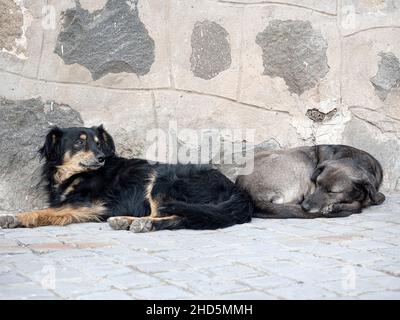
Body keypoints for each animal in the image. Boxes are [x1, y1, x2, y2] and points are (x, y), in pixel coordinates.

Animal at [0, 125, 253, 232]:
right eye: (79, 143)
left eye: (98, 143)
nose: (101, 157)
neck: (76, 174)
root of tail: (236, 190)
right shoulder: (82, 208)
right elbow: (53, 212)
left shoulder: (90, 204)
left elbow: (44, 211)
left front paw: (13, 217)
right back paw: (126, 221)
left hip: (162, 181)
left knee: (180, 217)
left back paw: (140, 223)